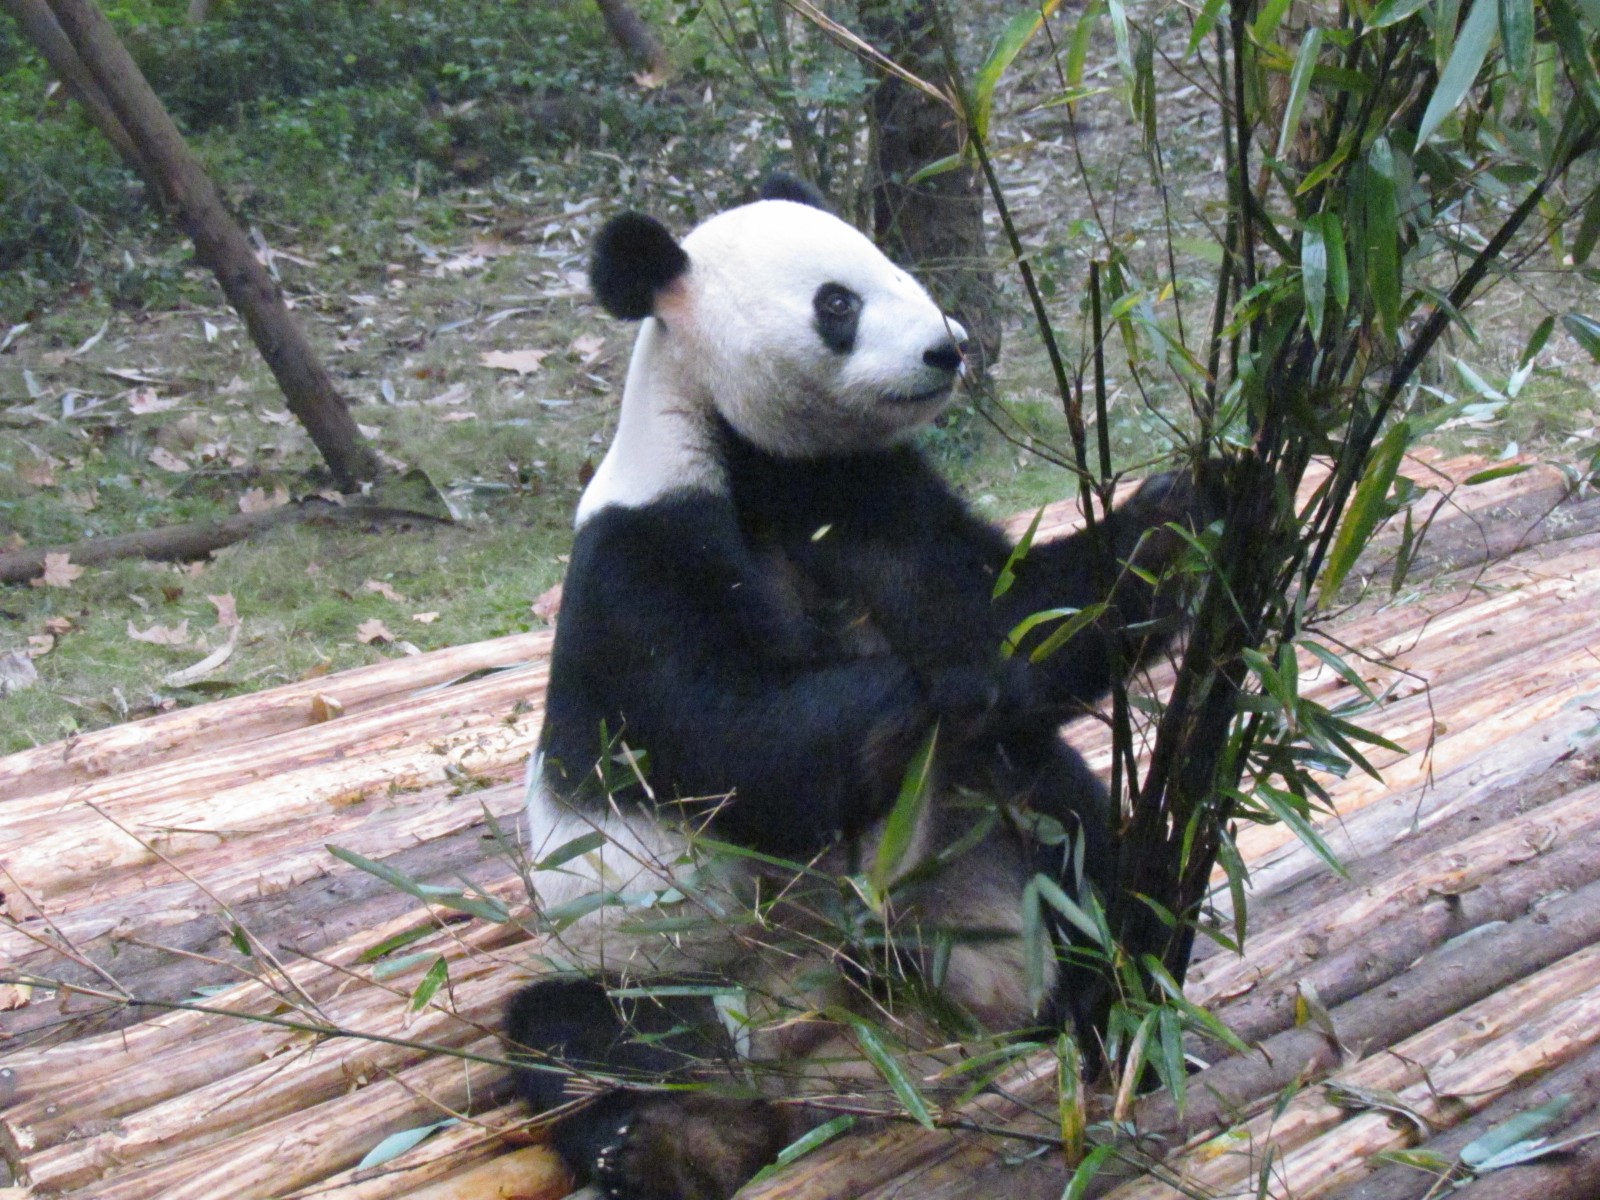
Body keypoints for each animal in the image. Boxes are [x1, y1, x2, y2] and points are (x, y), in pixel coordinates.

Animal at [505, 176, 1214, 1200]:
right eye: (836, 303)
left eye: (894, 265)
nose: (947, 347)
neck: (746, 453)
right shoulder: (641, 562)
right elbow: (740, 746)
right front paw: (936, 691)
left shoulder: (860, 490)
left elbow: (996, 600)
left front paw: (1186, 510)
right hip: (659, 959)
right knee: (580, 1036)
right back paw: (672, 1140)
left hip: (983, 874)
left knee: (1068, 839)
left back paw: (1104, 1004)